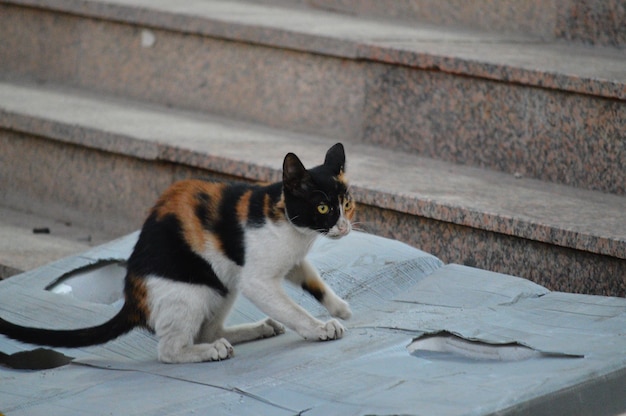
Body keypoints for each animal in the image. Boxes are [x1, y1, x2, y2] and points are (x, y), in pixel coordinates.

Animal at [0, 144, 352, 364]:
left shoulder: (290, 263)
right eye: (323, 207)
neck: (295, 231)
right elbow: (293, 309)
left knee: (208, 330)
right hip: (191, 291)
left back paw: (255, 329)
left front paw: (339, 307)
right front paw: (318, 328)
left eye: (347, 204)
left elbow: (314, 282)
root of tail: (133, 298)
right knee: (170, 349)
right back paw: (210, 351)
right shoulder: (257, 280)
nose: (345, 227)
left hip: (222, 284)